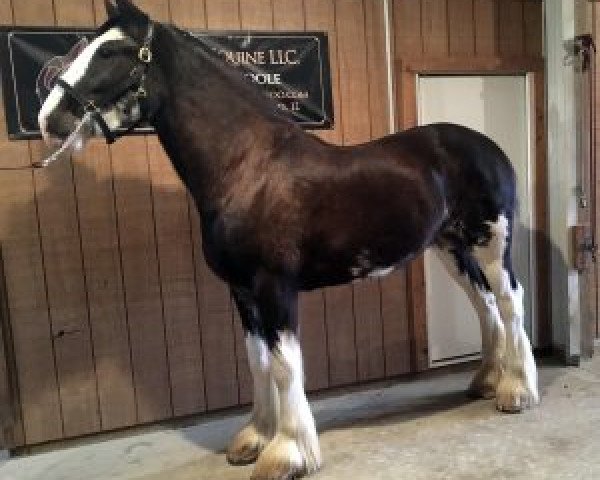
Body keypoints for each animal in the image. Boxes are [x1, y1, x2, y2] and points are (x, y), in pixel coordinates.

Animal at [38, 0, 540, 480]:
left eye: (112, 51)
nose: (49, 119)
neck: (246, 167)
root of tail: (486, 146)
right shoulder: (241, 291)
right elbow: (257, 360)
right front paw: (255, 438)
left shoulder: (273, 285)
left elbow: (284, 364)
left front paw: (288, 454)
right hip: (451, 246)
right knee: (484, 302)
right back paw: (486, 382)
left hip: (492, 241)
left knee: (510, 299)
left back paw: (517, 391)